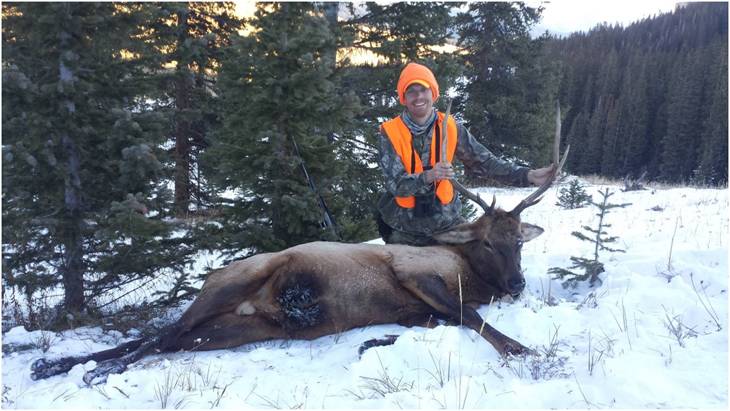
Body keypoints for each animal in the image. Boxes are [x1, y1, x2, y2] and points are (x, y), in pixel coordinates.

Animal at [31, 104, 568, 384]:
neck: (470, 275)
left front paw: (372, 341)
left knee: (165, 337)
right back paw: (91, 372)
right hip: (237, 279)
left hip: (235, 329)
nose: (517, 284)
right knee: (162, 333)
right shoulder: (414, 273)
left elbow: (445, 321)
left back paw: (55, 364)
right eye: (488, 243)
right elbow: (471, 317)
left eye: (519, 242)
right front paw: (527, 351)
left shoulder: (416, 311)